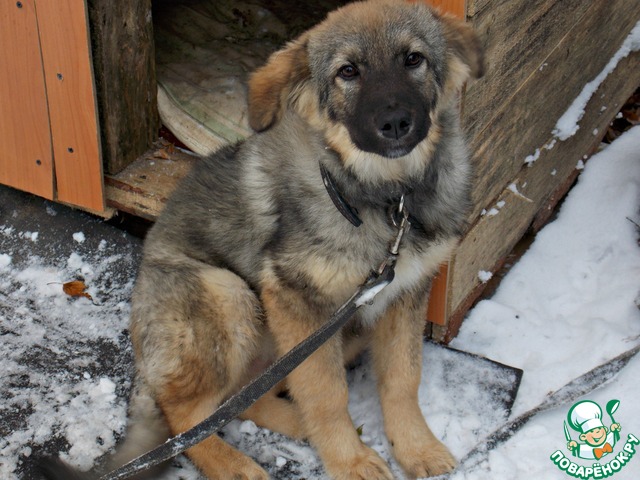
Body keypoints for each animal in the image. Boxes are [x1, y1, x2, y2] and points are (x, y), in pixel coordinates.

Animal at [40, 1, 483, 478]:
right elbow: (327, 394)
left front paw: (416, 448)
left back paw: (296, 424)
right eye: (348, 71)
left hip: (337, 328)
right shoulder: (297, 299)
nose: (396, 122)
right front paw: (349, 461)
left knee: (242, 400)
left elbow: (402, 379)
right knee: (187, 420)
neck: (386, 199)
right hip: (230, 295)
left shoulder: (403, 293)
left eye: (413, 59)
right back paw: (234, 464)